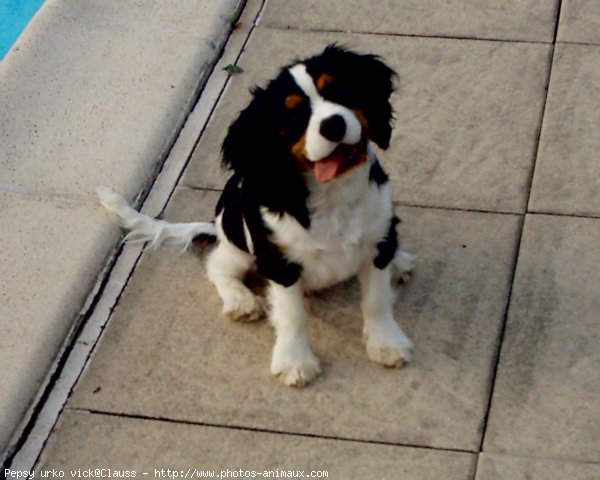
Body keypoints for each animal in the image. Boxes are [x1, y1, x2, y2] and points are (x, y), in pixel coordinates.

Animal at [99, 45, 418, 388]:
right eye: (294, 115)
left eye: (339, 90)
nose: (333, 124)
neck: (332, 195)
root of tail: (215, 226)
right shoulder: (277, 261)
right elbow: (292, 314)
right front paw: (294, 360)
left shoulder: (377, 241)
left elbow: (376, 299)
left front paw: (386, 342)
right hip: (238, 246)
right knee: (217, 266)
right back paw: (240, 301)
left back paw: (399, 262)